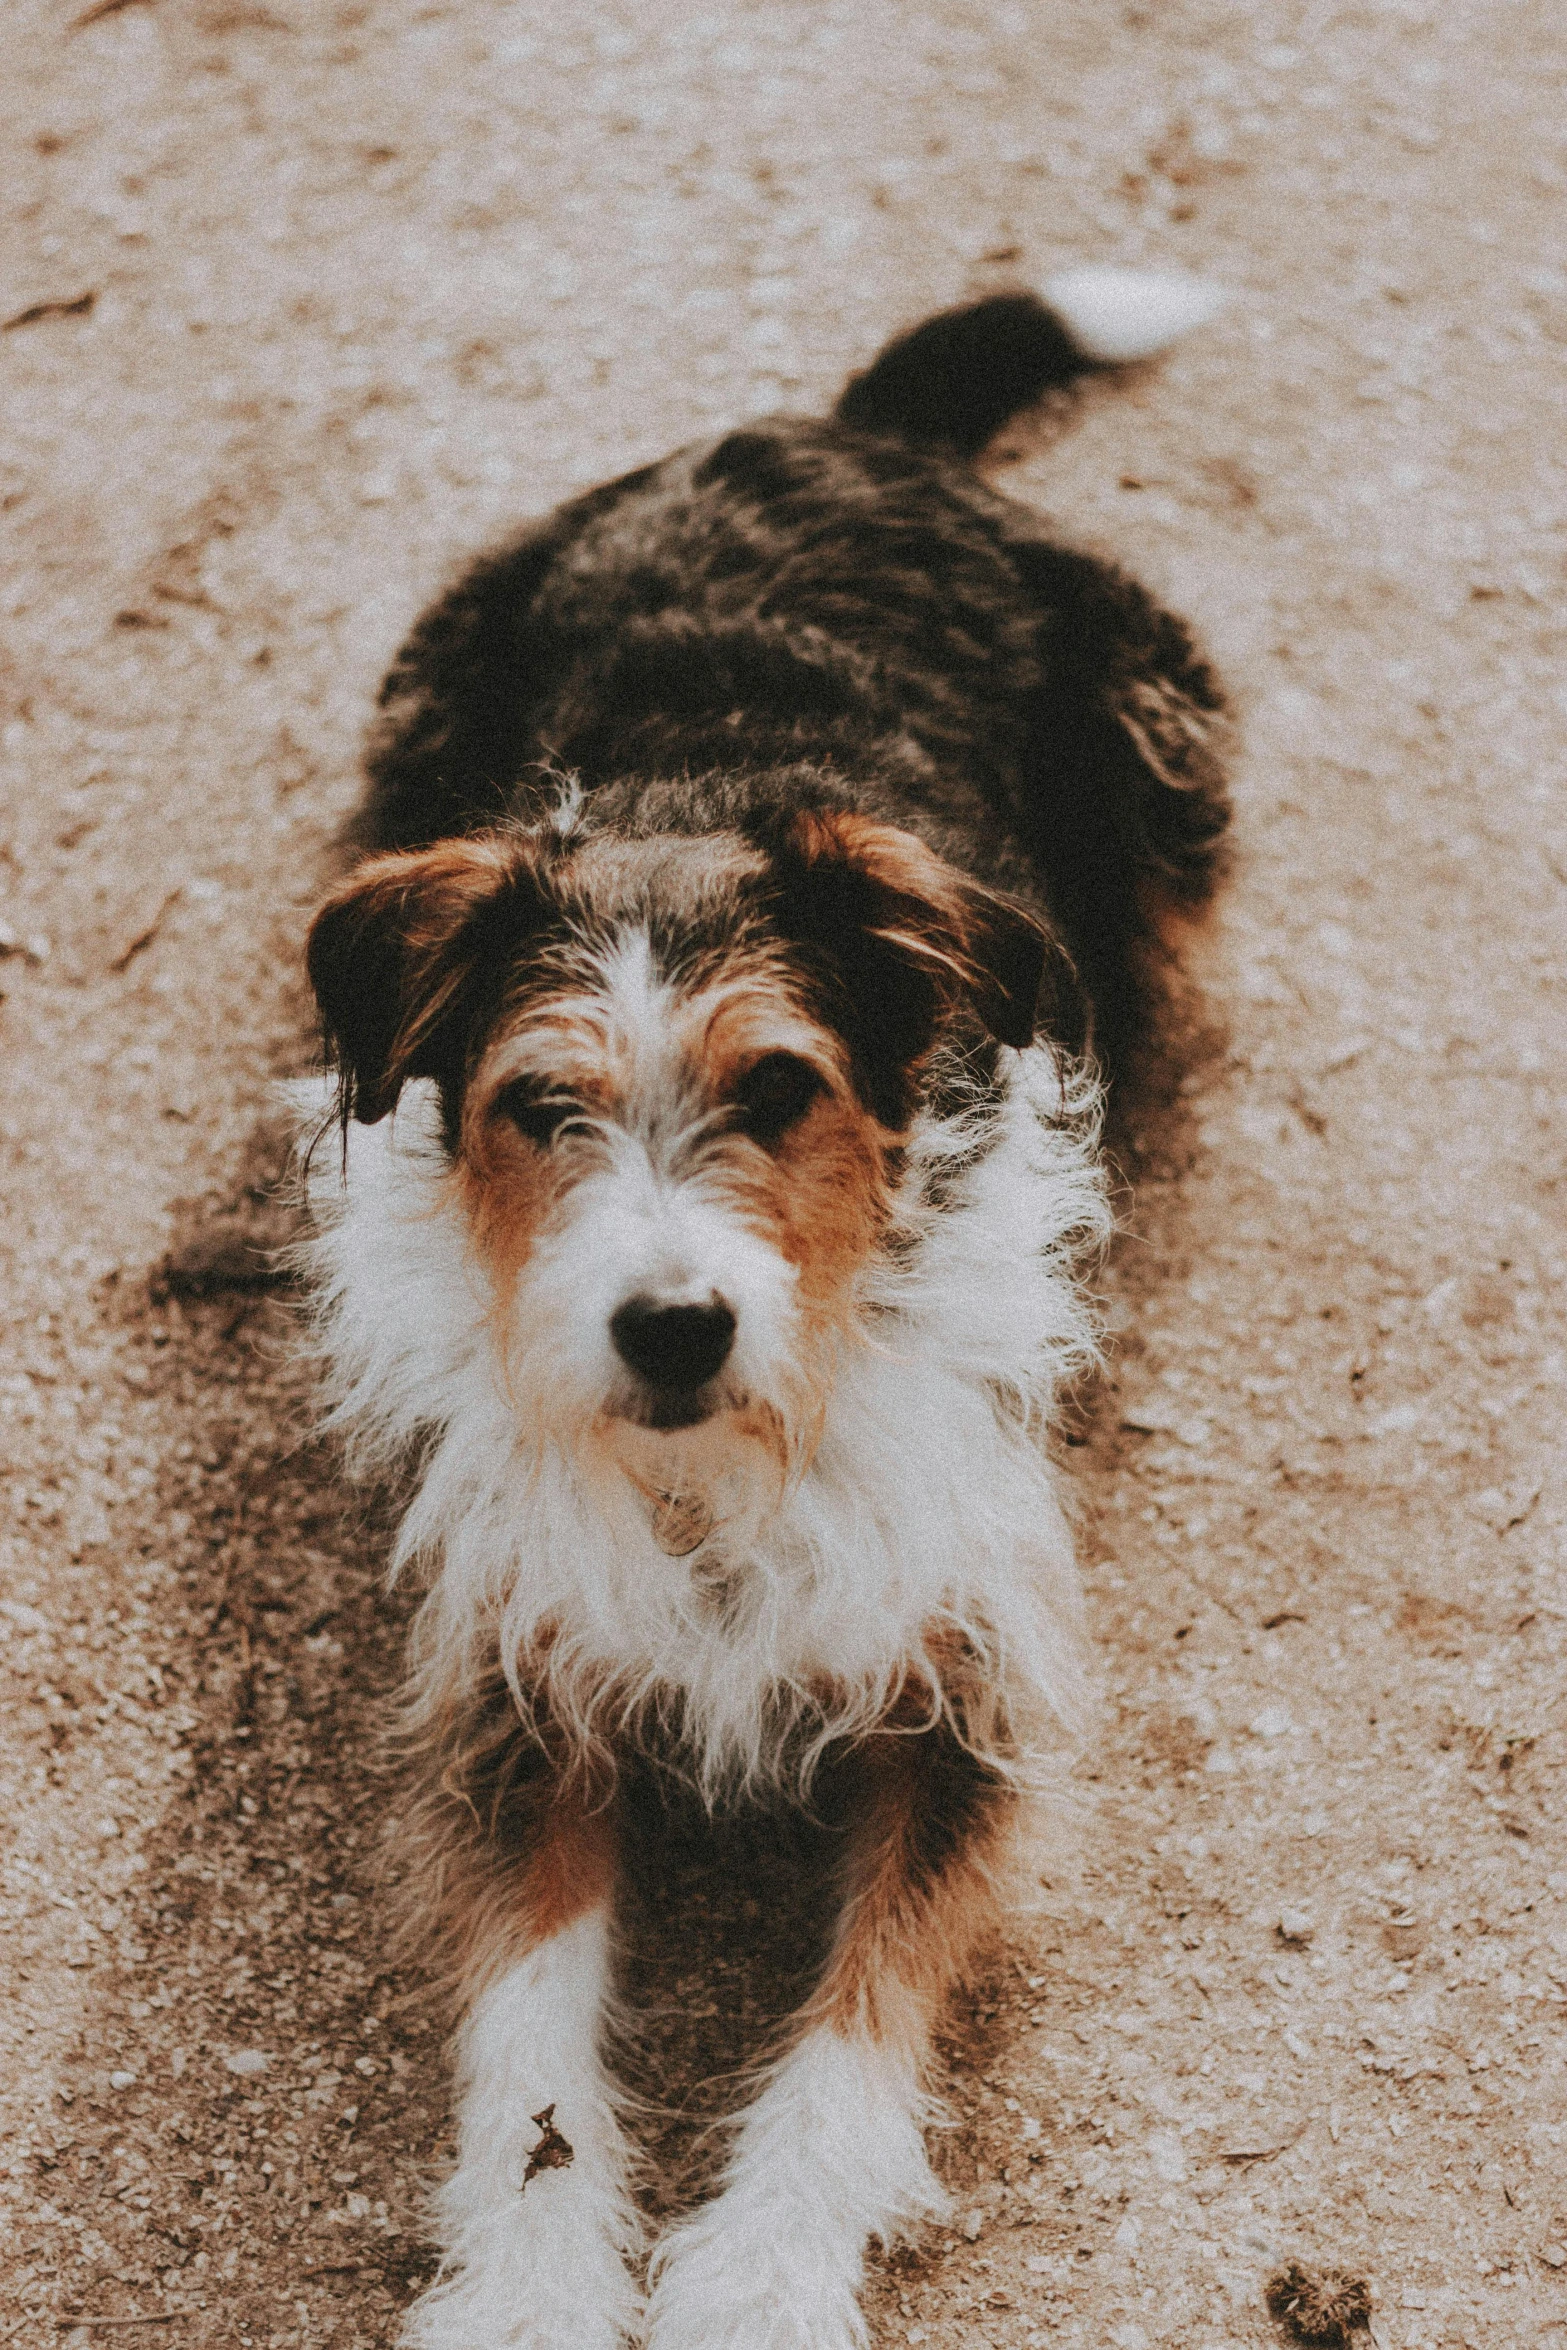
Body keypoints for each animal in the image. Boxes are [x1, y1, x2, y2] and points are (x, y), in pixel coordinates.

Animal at [303, 279, 1240, 2350]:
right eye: (538, 1108)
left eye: (783, 1087)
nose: (671, 1326)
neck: (722, 1467)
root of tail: (828, 436)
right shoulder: (523, 1689)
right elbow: (533, 2044)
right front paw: (533, 2289)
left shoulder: (963, 1691)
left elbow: (851, 2028)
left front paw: (761, 2276)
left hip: (1174, 759)